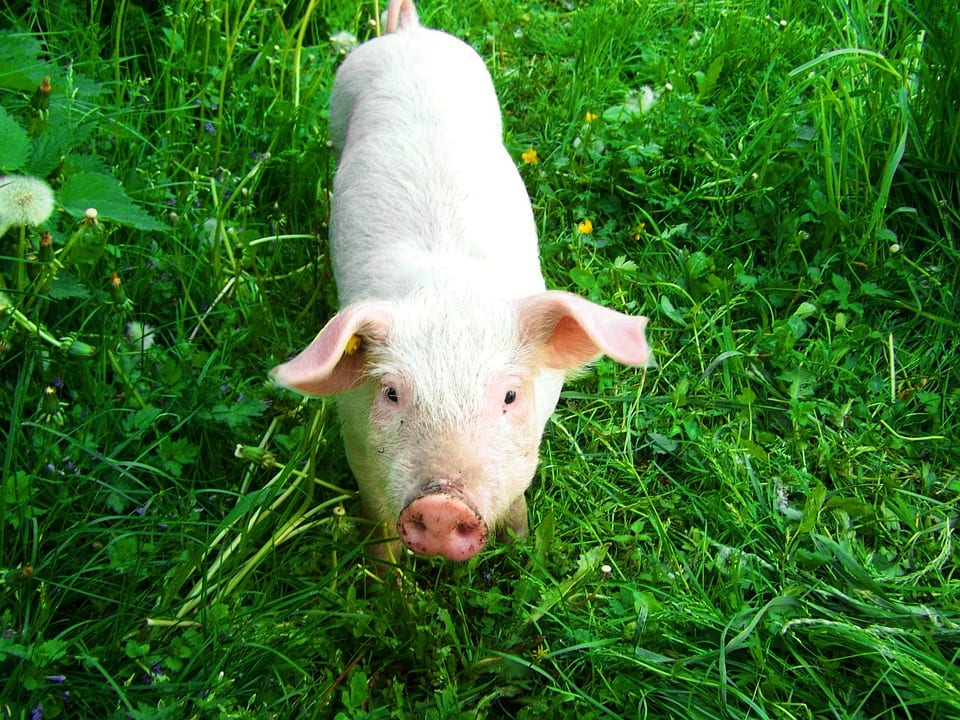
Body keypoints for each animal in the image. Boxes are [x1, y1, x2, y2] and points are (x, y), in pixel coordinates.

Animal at [271, 0, 651, 562]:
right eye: (391, 393)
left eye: (510, 396)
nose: (442, 506)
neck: (448, 290)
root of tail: (409, 34)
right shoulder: (354, 435)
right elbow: (378, 522)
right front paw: (391, 585)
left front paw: (521, 546)